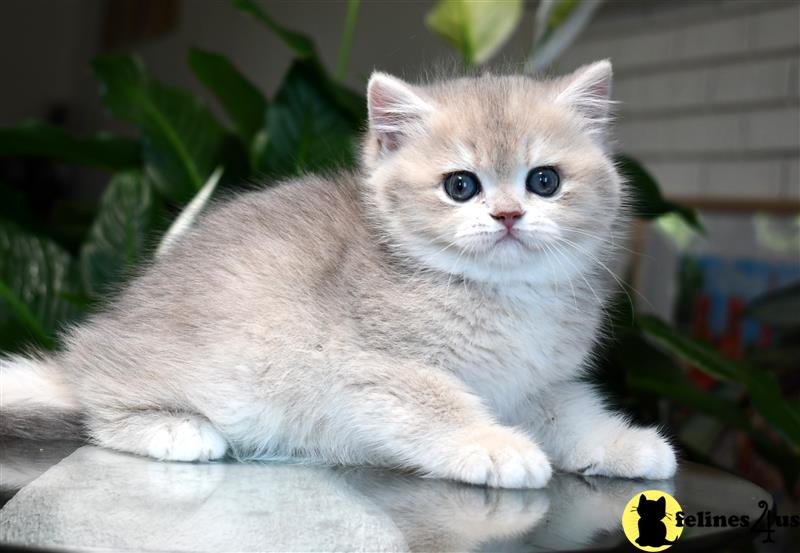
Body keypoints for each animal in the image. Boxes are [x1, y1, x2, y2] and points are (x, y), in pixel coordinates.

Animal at [0, 60, 676, 488]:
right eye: (461, 186)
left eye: (544, 180)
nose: (508, 215)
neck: (504, 296)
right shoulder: (369, 369)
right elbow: (438, 406)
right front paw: (494, 445)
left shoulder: (538, 386)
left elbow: (576, 416)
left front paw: (625, 443)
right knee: (95, 402)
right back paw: (175, 428)